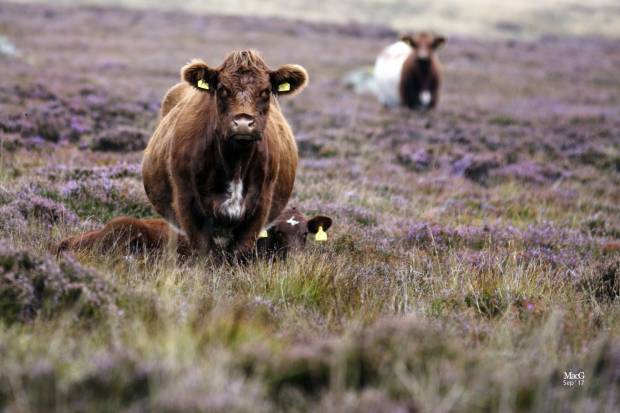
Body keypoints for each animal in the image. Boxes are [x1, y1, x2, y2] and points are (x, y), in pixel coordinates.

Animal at [142, 49, 308, 258]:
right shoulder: (187, 203)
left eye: (266, 91)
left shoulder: (261, 207)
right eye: (222, 89)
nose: (243, 123)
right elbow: (205, 252)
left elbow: (238, 252)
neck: (235, 162)